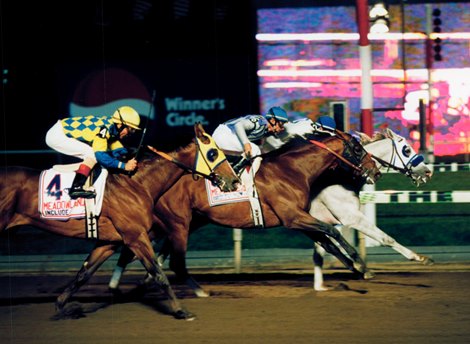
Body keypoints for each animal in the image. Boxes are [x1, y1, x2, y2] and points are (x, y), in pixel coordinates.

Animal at [0, 123, 239, 320]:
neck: (136, 183)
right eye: (213, 152)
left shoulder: (109, 241)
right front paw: (181, 311)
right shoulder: (136, 237)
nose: (234, 181)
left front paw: (62, 306)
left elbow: (84, 274)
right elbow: (158, 273)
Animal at [110, 130, 382, 296]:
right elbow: (330, 232)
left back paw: (134, 283)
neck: (294, 169)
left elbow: (328, 241)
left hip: (187, 221)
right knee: (140, 249)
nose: (376, 170)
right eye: (357, 148)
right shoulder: (293, 217)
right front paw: (359, 262)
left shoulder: (299, 221)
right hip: (177, 222)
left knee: (142, 250)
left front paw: (359, 268)